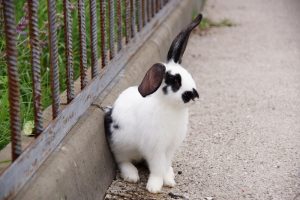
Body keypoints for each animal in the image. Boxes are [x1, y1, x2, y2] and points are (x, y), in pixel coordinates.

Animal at [104, 13, 203, 193]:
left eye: (188, 75)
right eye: (175, 82)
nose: (193, 95)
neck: (171, 108)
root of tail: (109, 111)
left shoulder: (169, 148)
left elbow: (165, 165)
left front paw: (169, 180)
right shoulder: (155, 148)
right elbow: (157, 168)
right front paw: (155, 187)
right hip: (120, 145)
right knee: (122, 160)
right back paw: (132, 175)